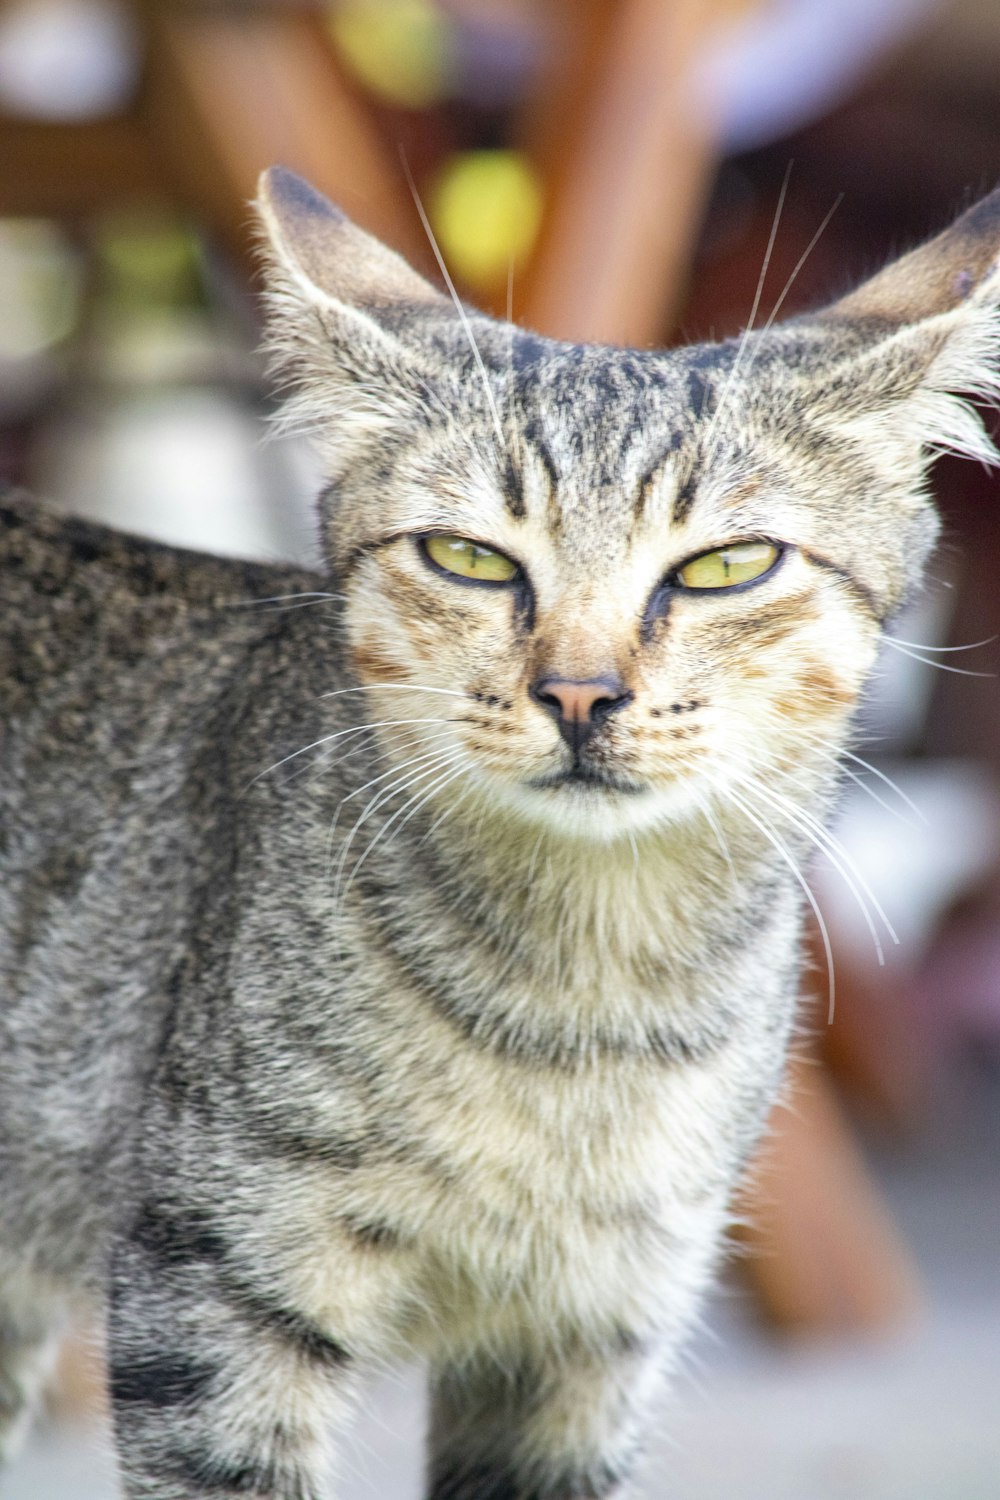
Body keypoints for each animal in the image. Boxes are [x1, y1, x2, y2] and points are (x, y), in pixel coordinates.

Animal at [0, 164, 995, 1500]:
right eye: (468, 557)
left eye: (726, 566)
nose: (578, 694)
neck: (580, 1005)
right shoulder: (212, 1299)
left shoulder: (591, 1334)